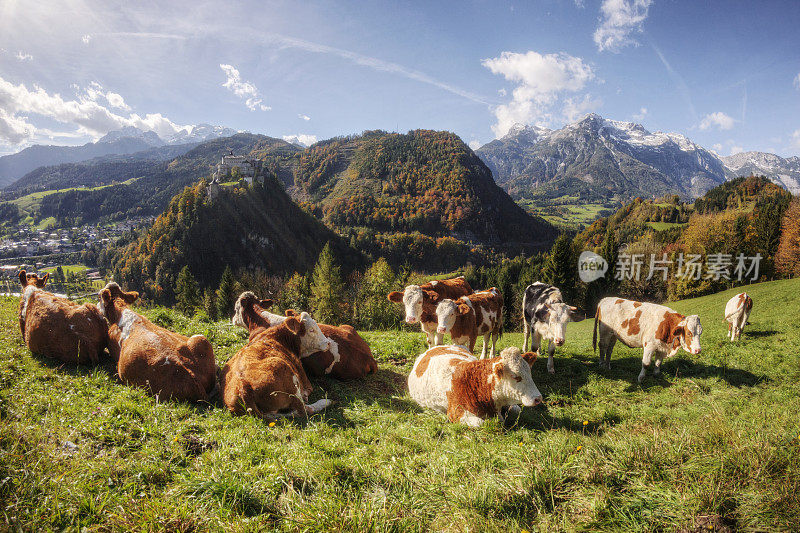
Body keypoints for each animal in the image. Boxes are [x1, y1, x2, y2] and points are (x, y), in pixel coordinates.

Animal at [406, 344, 544, 428]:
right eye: (516, 377)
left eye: (529, 373)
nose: (538, 398)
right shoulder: (455, 413)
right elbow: (480, 423)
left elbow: (516, 409)